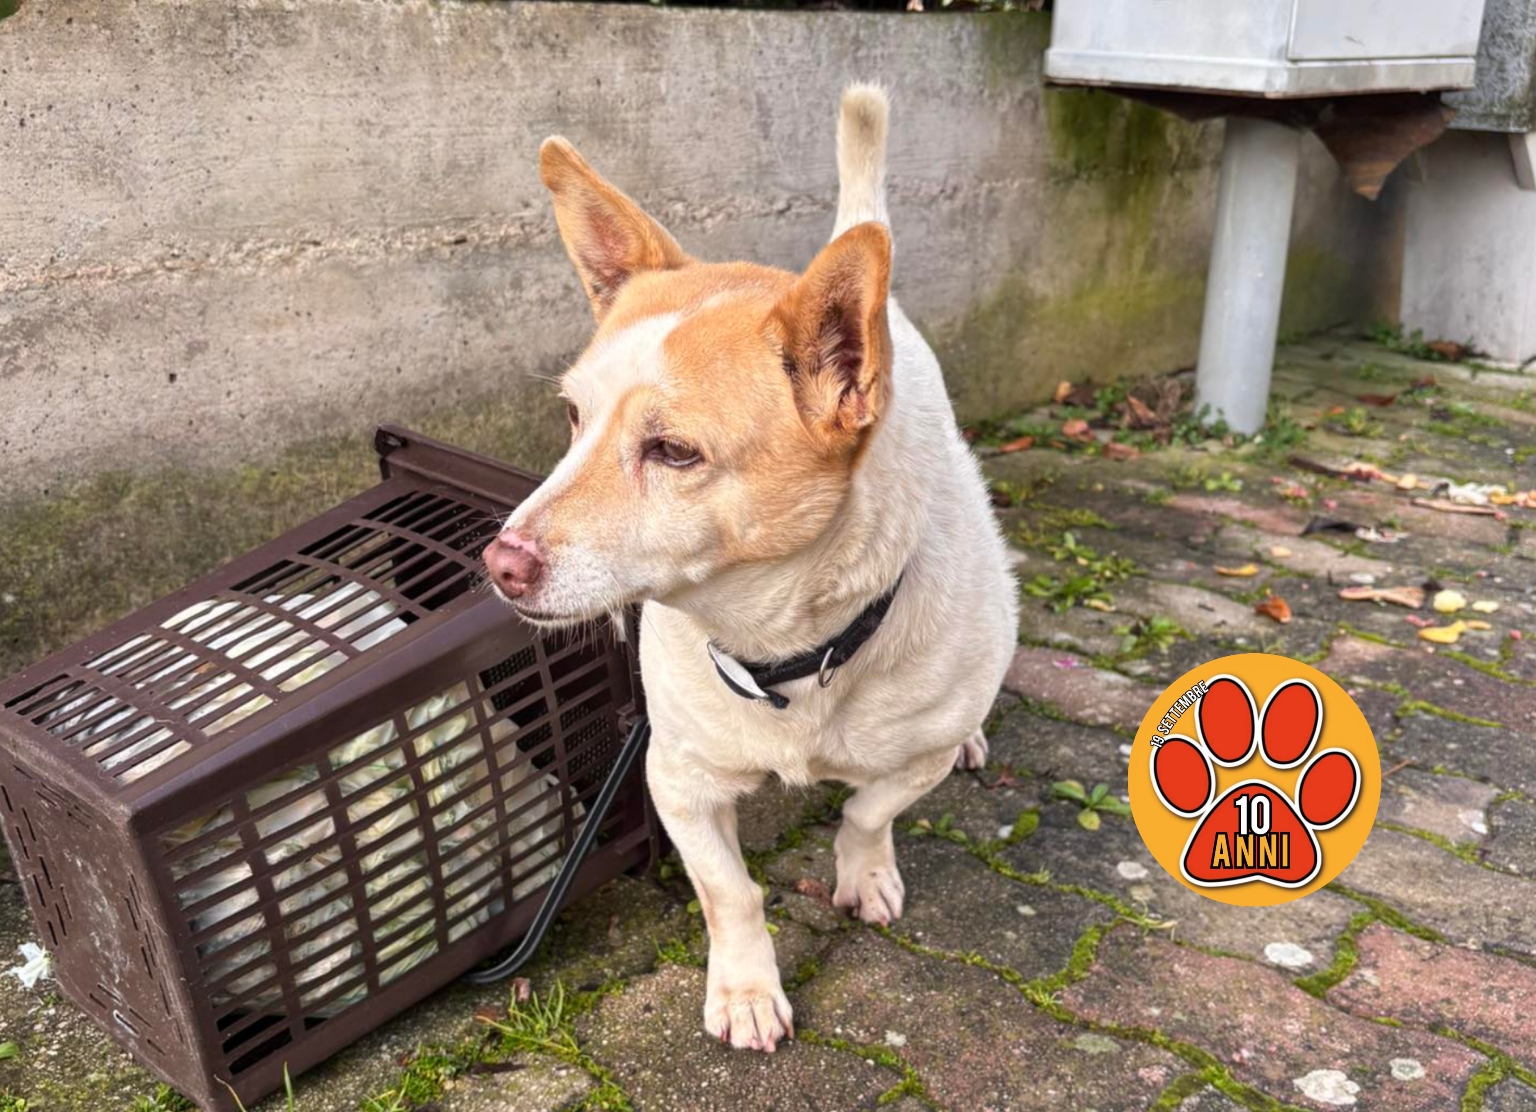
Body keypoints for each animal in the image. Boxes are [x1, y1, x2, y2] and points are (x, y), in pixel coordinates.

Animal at [483, 85, 1018, 1053]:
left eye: (673, 451)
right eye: (572, 418)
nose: (497, 562)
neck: (783, 649)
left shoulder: (906, 762)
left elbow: (868, 809)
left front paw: (862, 871)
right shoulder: (675, 780)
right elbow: (729, 891)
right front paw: (744, 989)